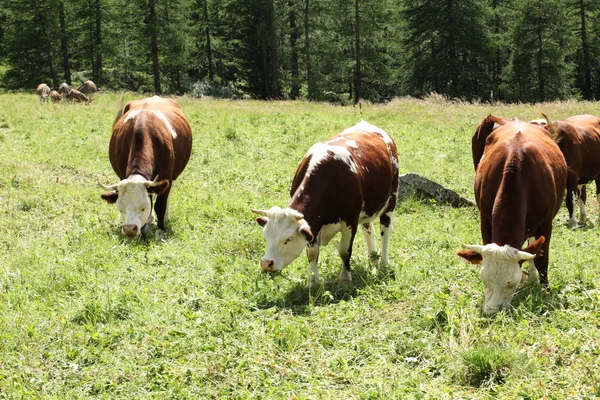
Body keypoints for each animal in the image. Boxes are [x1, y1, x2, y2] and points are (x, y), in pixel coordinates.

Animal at [98, 95, 192, 238]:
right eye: (121, 208)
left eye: (143, 207)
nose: (129, 229)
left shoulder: (166, 177)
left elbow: (160, 205)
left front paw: (160, 228)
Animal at [454, 115, 568, 316]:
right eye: (484, 280)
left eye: (510, 284)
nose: (491, 312)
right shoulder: (485, 220)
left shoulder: (546, 224)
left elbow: (541, 259)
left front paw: (545, 291)